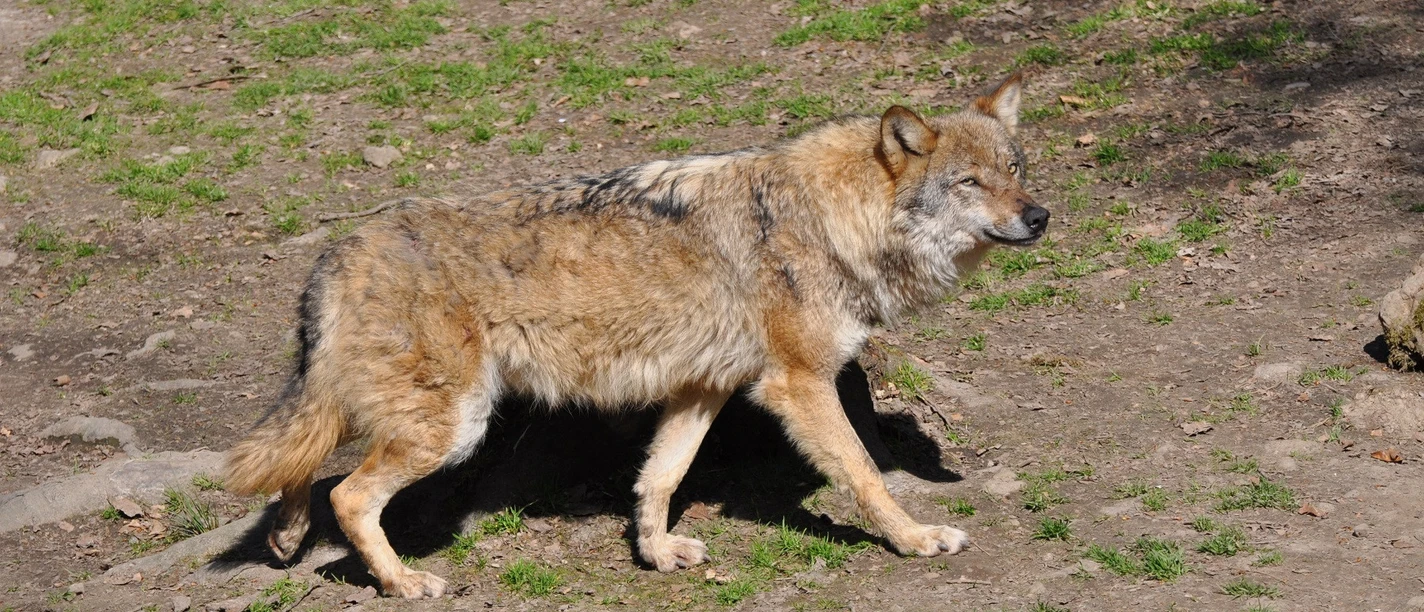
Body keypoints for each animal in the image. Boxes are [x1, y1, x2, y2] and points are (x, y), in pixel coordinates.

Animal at [224, 73, 1047, 598]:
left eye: (1015, 168)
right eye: (970, 183)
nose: (1039, 216)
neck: (830, 217)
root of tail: (338, 249)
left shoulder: (705, 387)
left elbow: (660, 478)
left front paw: (654, 553)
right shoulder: (800, 384)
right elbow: (868, 476)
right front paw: (916, 540)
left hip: (408, 415)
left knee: (305, 464)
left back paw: (287, 538)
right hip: (452, 427)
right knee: (349, 494)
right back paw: (402, 582)